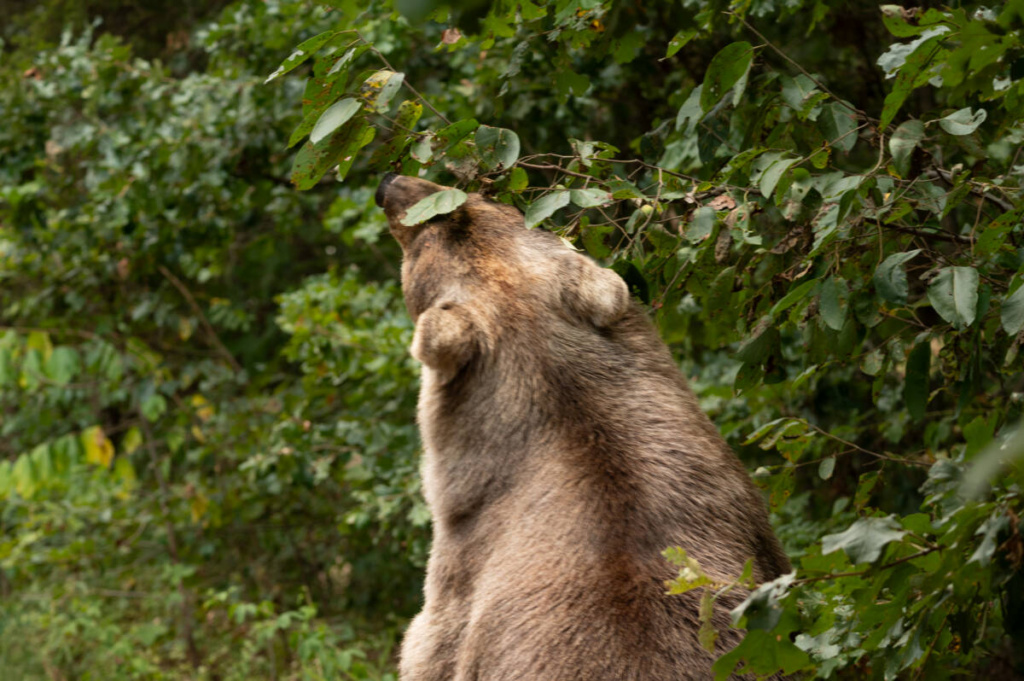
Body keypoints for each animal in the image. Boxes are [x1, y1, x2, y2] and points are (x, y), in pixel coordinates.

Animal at [376, 172, 791, 681]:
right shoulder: (744, 522)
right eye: (486, 201)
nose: (390, 183)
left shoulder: (457, 593)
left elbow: (429, 642)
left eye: (418, 248)